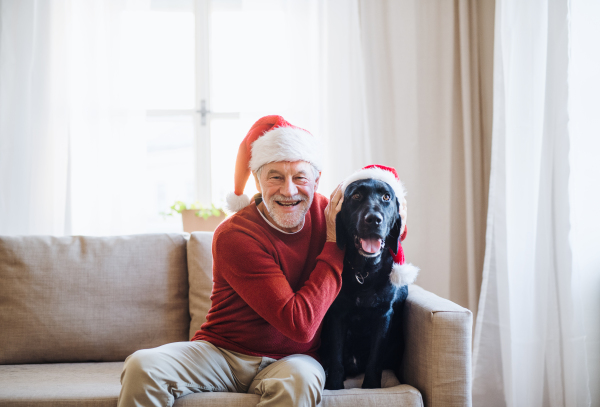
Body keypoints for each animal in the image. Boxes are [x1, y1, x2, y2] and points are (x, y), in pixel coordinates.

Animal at [322, 178, 410, 392]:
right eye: (356, 196)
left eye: (386, 197)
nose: (374, 219)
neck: (364, 272)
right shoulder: (337, 314)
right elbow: (337, 357)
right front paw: (334, 386)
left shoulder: (383, 315)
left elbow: (375, 359)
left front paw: (371, 386)